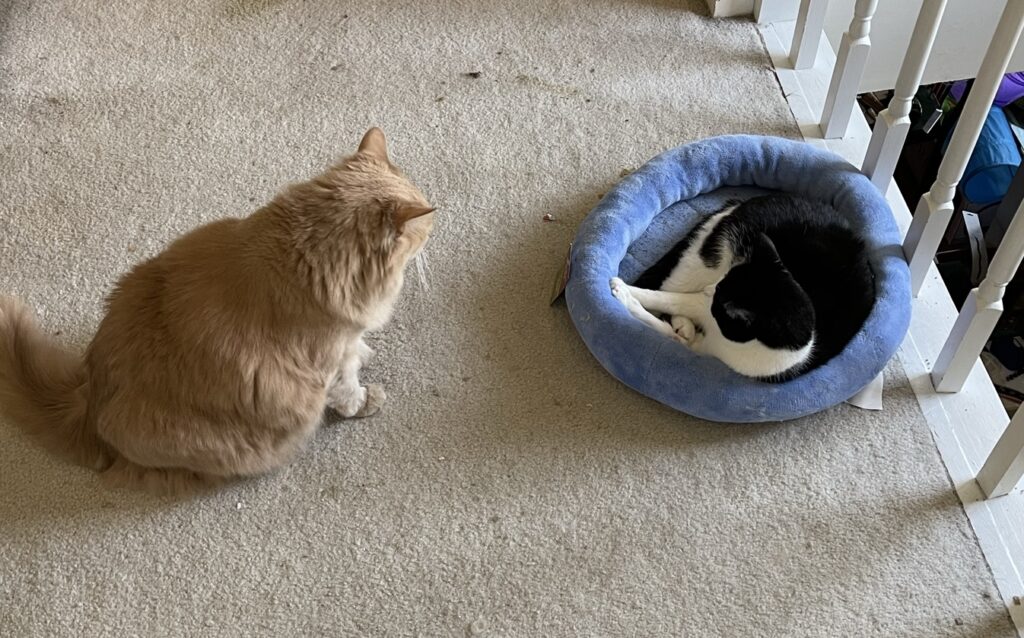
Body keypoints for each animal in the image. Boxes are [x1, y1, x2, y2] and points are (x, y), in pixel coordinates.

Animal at [0, 125, 434, 493]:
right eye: (426, 226)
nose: (435, 220)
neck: (301, 255)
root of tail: (88, 400)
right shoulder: (328, 362)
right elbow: (348, 390)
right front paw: (365, 399)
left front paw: (366, 353)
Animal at [610, 192, 876, 380]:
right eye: (722, 284)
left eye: (721, 294)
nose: (711, 289)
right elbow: (664, 300)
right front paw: (622, 290)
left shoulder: (706, 336)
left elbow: (667, 326)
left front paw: (627, 296)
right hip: (711, 256)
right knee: (670, 284)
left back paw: (683, 325)